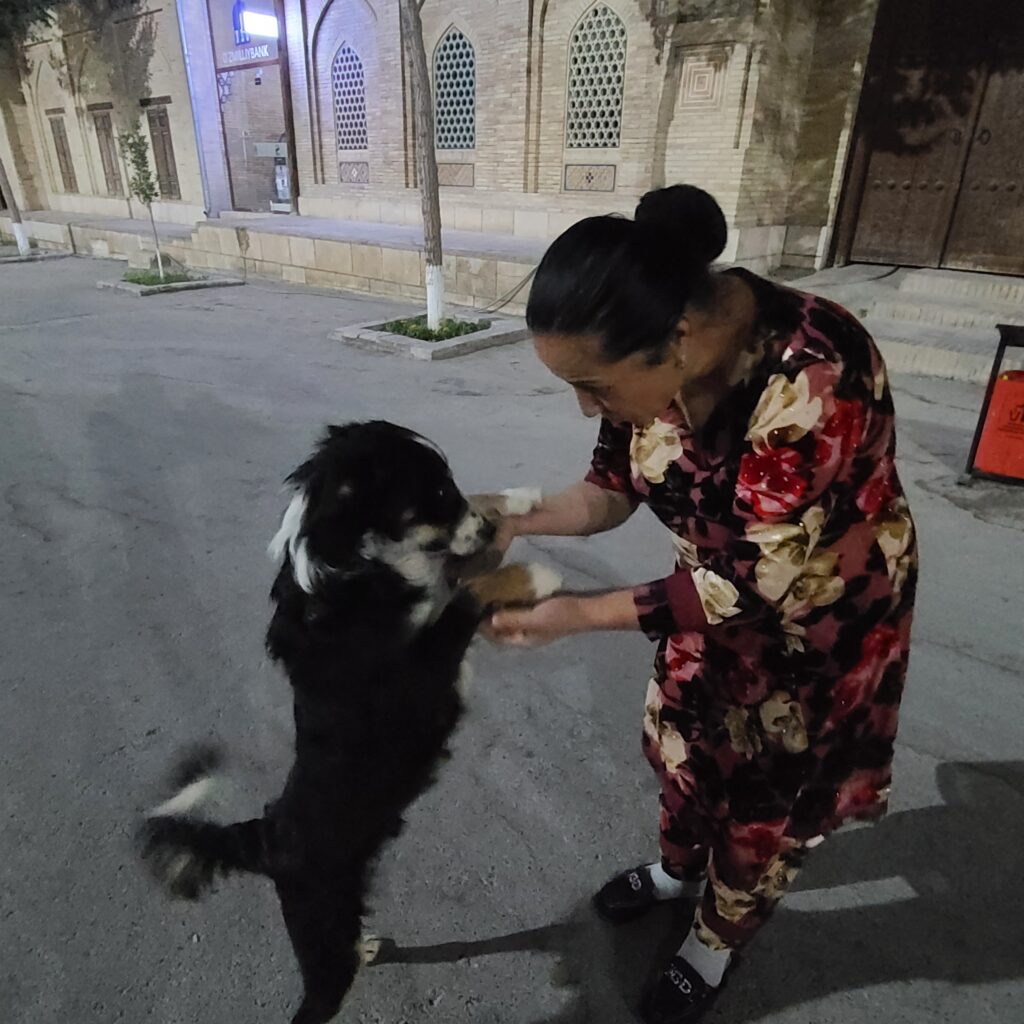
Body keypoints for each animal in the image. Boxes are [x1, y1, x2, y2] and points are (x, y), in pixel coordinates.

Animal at [138, 419, 561, 1019]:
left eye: (449, 484)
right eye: (435, 492)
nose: (491, 531)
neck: (355, 567)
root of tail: (266, 836)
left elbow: (460, 571)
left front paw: (520, 497)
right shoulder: (421, 668)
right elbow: (465, 594)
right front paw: (534, 574)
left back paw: (368, 946)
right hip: (321, 939)